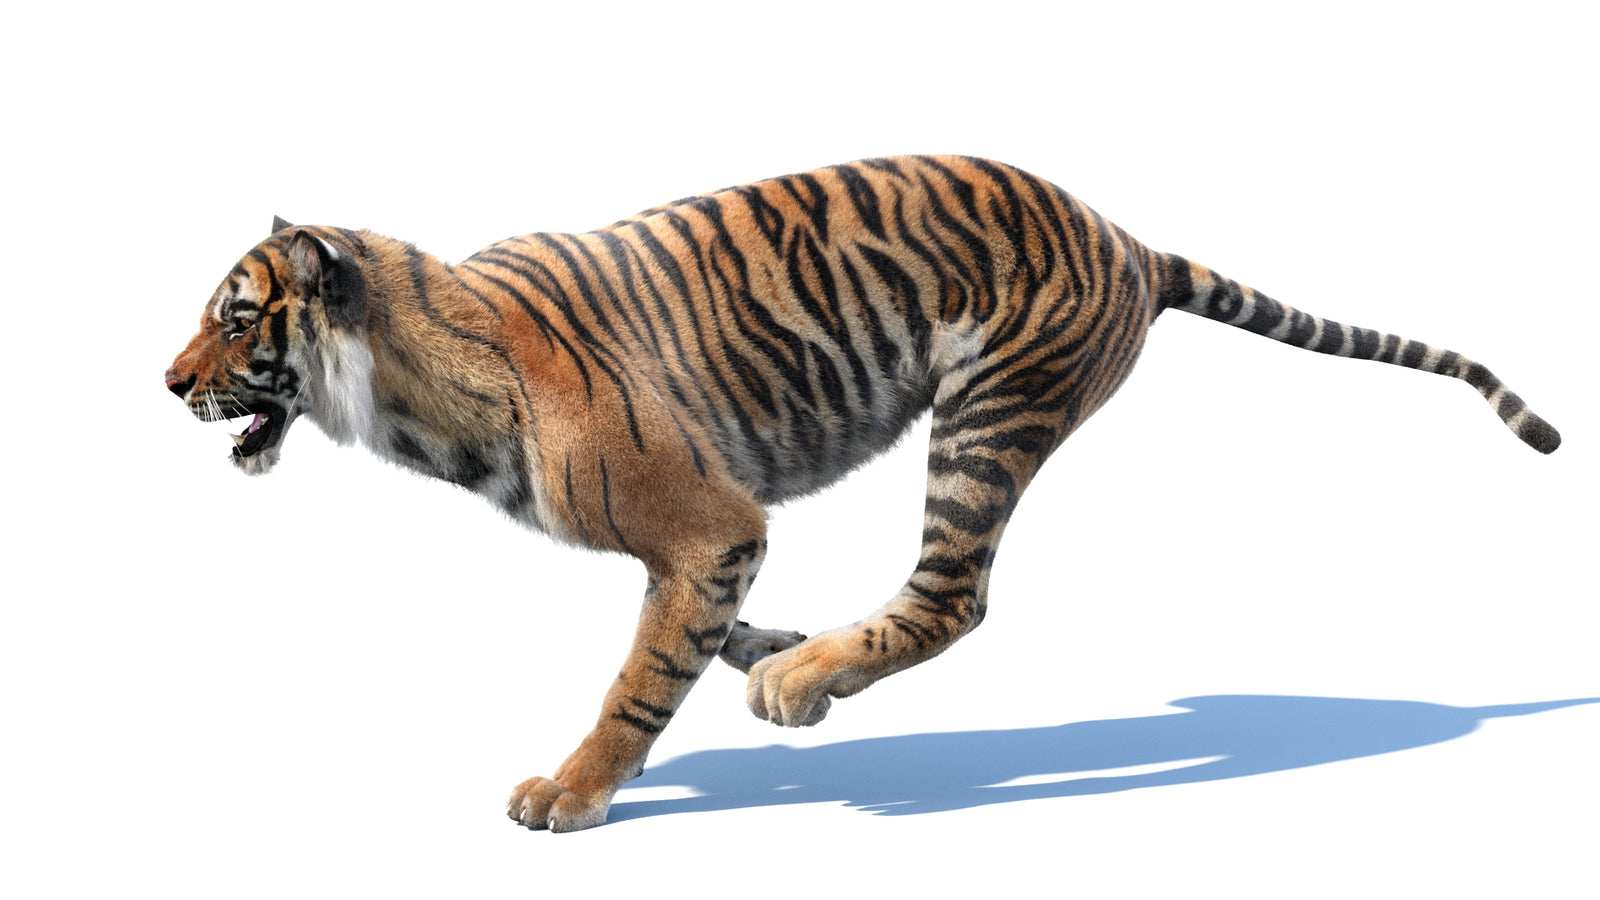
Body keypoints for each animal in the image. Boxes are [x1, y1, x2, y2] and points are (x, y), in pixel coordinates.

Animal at [165, 155, 1560, 832]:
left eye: (236, 319)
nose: (166, 383)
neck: (411, 397)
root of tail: (1129, 238)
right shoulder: (709, 542)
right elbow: (697, 633)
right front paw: (775, 657)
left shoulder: (710, 522)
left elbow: (638, 678)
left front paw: (574, 791)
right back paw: (803, 671)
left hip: (986, 415)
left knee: (955, 595)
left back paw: (804, 680)